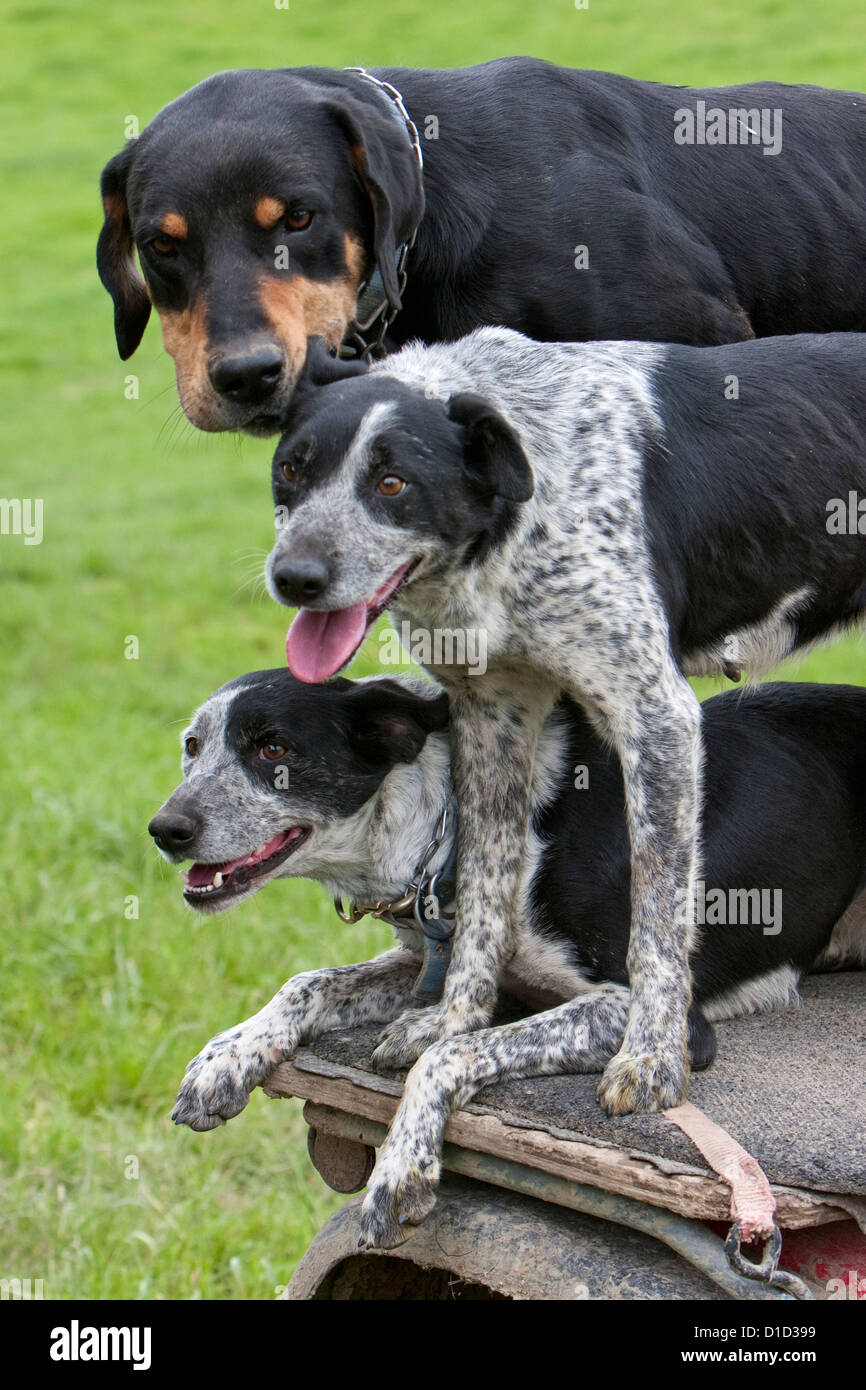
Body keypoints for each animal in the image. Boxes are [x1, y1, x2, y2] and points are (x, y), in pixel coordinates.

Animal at [150, 672, 866, 1251]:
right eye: (192, 746)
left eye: (273, 748)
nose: (164, 830)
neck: (463, 833)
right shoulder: (437, 965)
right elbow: (309, 982)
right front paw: (226, 1057)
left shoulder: (665, 1018)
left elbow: (447, 1052)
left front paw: (400, 1170)